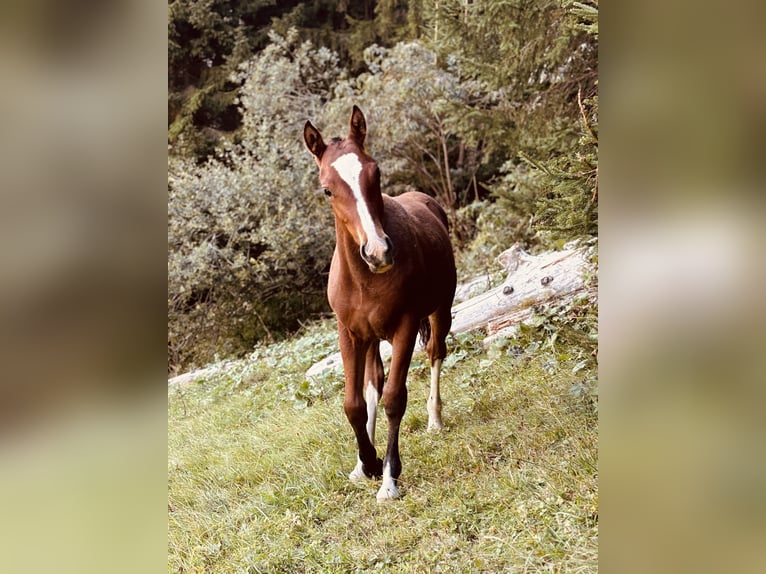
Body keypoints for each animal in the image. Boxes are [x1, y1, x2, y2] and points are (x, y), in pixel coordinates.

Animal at [304, 106, 456, 502]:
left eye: (377, 173)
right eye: (327, 189)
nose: (378, 252)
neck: (364, 280)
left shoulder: (405, 326)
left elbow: (394, 398)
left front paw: (389, 477)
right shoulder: (349, 334)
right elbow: (355, 403)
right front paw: (367, 463)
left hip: (440, 312)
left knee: (435, 353)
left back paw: (435, 419)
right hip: (371, 337)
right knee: (373, 381)